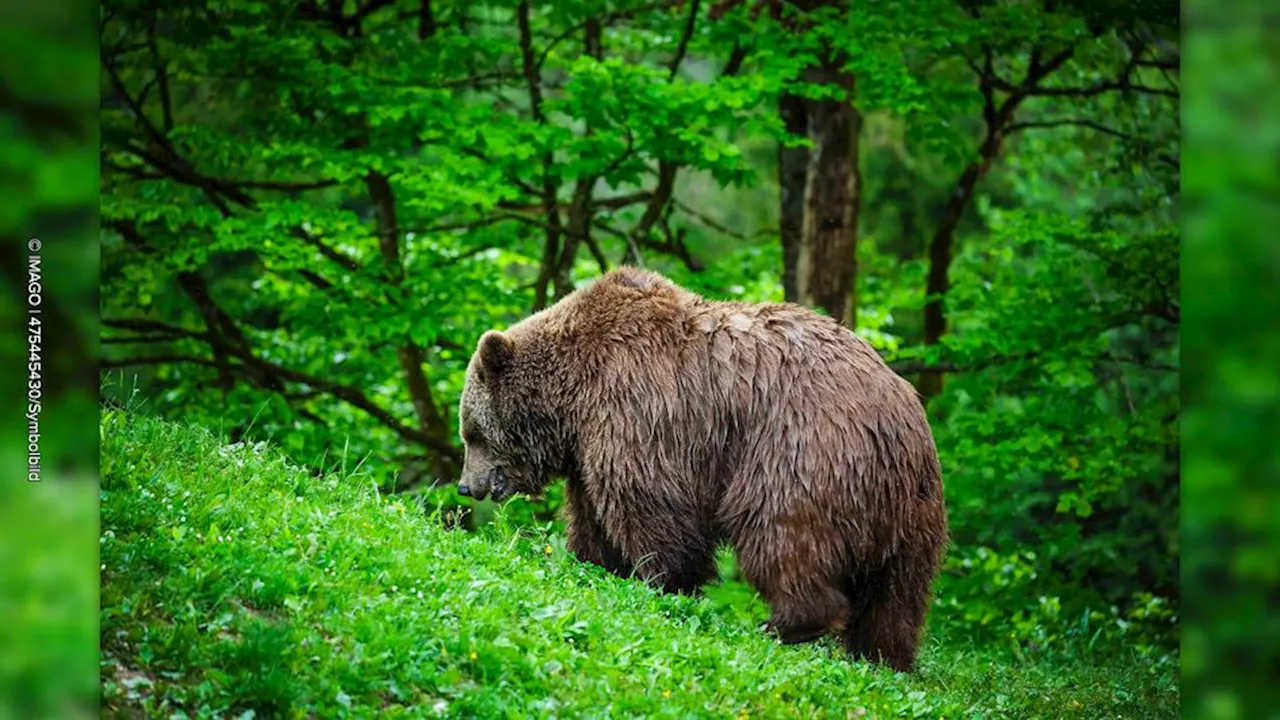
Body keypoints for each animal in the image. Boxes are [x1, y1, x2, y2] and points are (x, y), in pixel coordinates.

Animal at [460, 266, 952, 671]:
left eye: (472, 431)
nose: (466, 486)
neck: (574, 395)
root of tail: (900, 426)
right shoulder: (589, 447)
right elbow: (593, 518)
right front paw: (596, 565)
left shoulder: (639, 406)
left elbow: (651, 505)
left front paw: (665, 583)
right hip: (917, 513)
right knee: (895, 597)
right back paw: (882, 656)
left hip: (802, 455)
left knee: (780, 535)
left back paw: (781, 625)